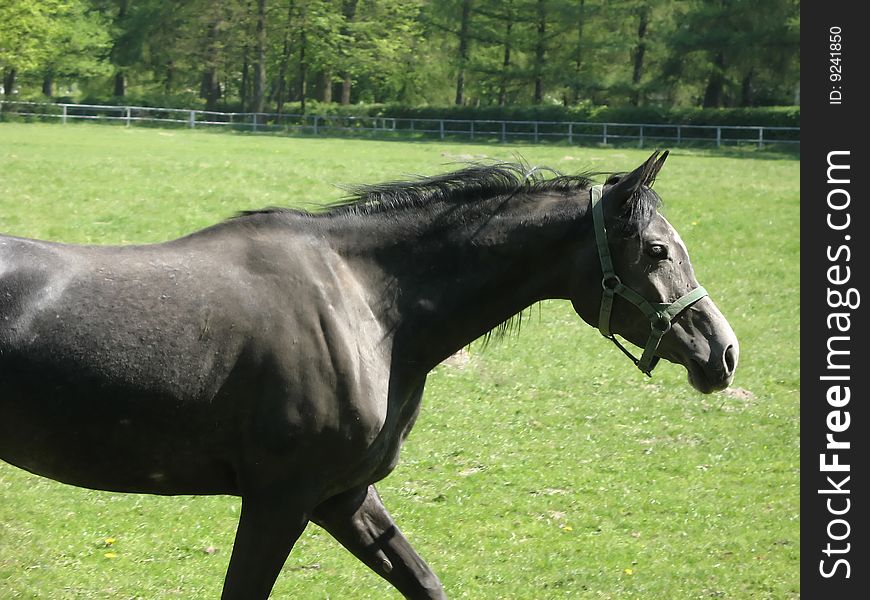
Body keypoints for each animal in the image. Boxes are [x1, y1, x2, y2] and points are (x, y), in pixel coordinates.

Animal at [0, 152, 740, 596]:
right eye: (657, 249)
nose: (723, 352)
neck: (368, 309)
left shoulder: (344, 498)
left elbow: (425, 582)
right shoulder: (280, 500)